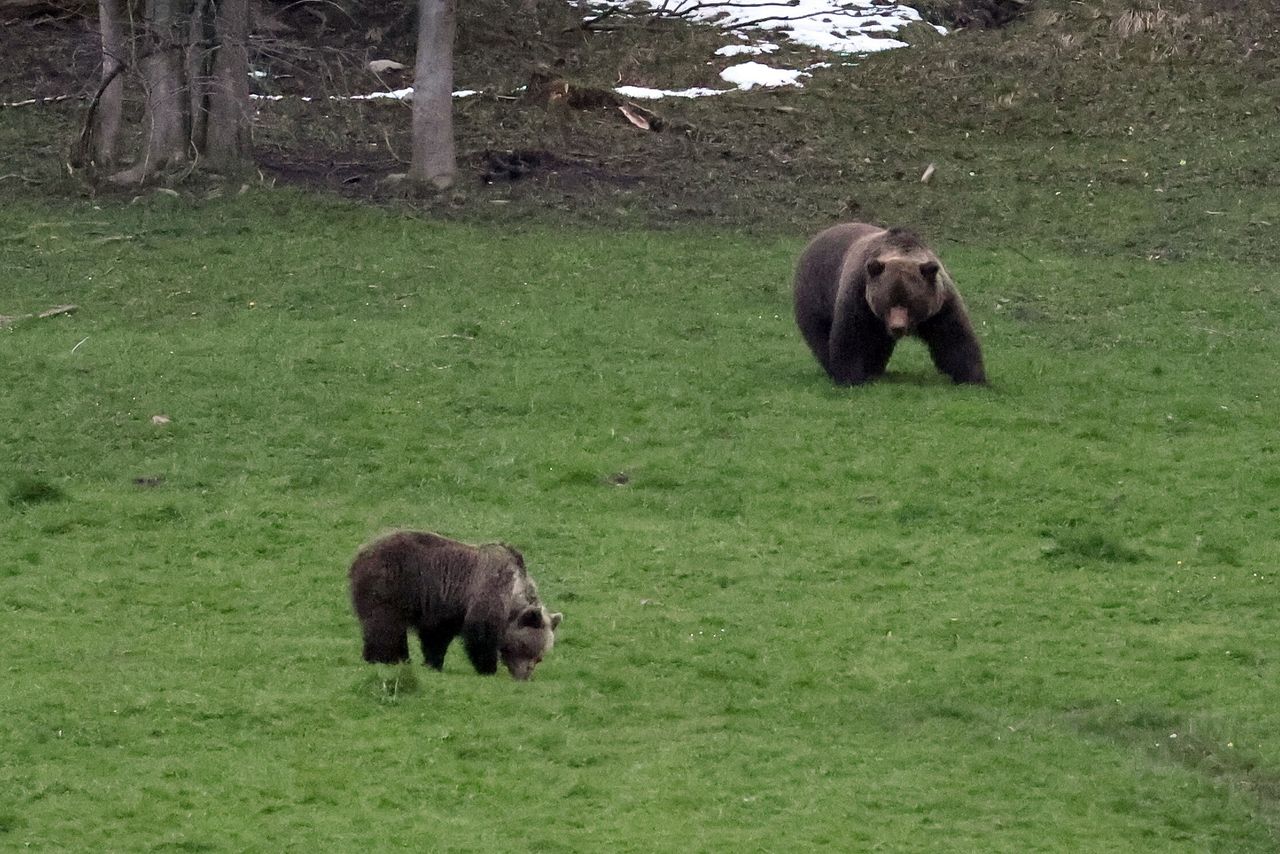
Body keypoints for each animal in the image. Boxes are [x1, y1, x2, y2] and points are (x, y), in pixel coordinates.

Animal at [353, 530, 568, 686]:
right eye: (527, 649)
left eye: (539, 657)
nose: (525, 676)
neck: (511, 600)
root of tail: (361, 552)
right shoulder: (484, 596)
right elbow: (479, 637)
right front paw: (487, 668)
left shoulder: (447, 609)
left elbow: (436, 637)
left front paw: (433, 663)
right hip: (390, 586)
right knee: (384, 625)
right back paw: (382, 658)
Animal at [788, 226, 988, 386]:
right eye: (888, 301)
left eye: (910, 302)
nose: (897, 327)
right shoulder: (859, 295)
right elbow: (851, 336)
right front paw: (850, 377)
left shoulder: (940, 305)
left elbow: (954, 337)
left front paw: (973, 378)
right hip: (815, 293)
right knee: (820, 335)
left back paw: (875, 368)